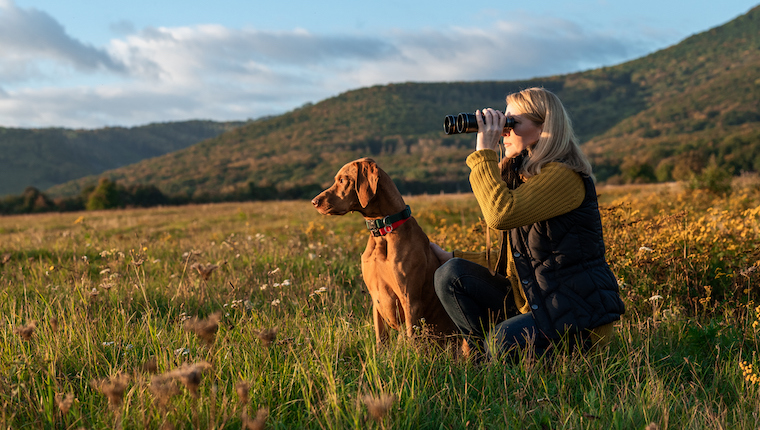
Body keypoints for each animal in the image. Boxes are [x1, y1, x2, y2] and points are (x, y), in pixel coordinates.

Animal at [310, 156, 454, 344]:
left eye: (342, 180)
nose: (314, 202)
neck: (383, 231)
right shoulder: (376, 299)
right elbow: (380, 340)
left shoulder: (410, 300)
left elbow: (412, 340)